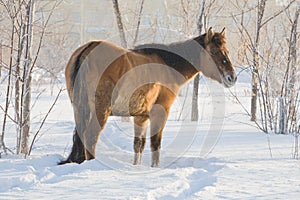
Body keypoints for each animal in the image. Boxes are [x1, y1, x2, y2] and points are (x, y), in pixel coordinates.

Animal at [58, 27, 237, 167]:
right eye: (215, 52)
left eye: (227, 52)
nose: (232, 78)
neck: (167, 66)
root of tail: (88, 49)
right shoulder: (160, 112)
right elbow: (155, 144)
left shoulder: (141, 117)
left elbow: (139, 145)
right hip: (100, 111)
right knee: (90, 137)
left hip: (79, 110)